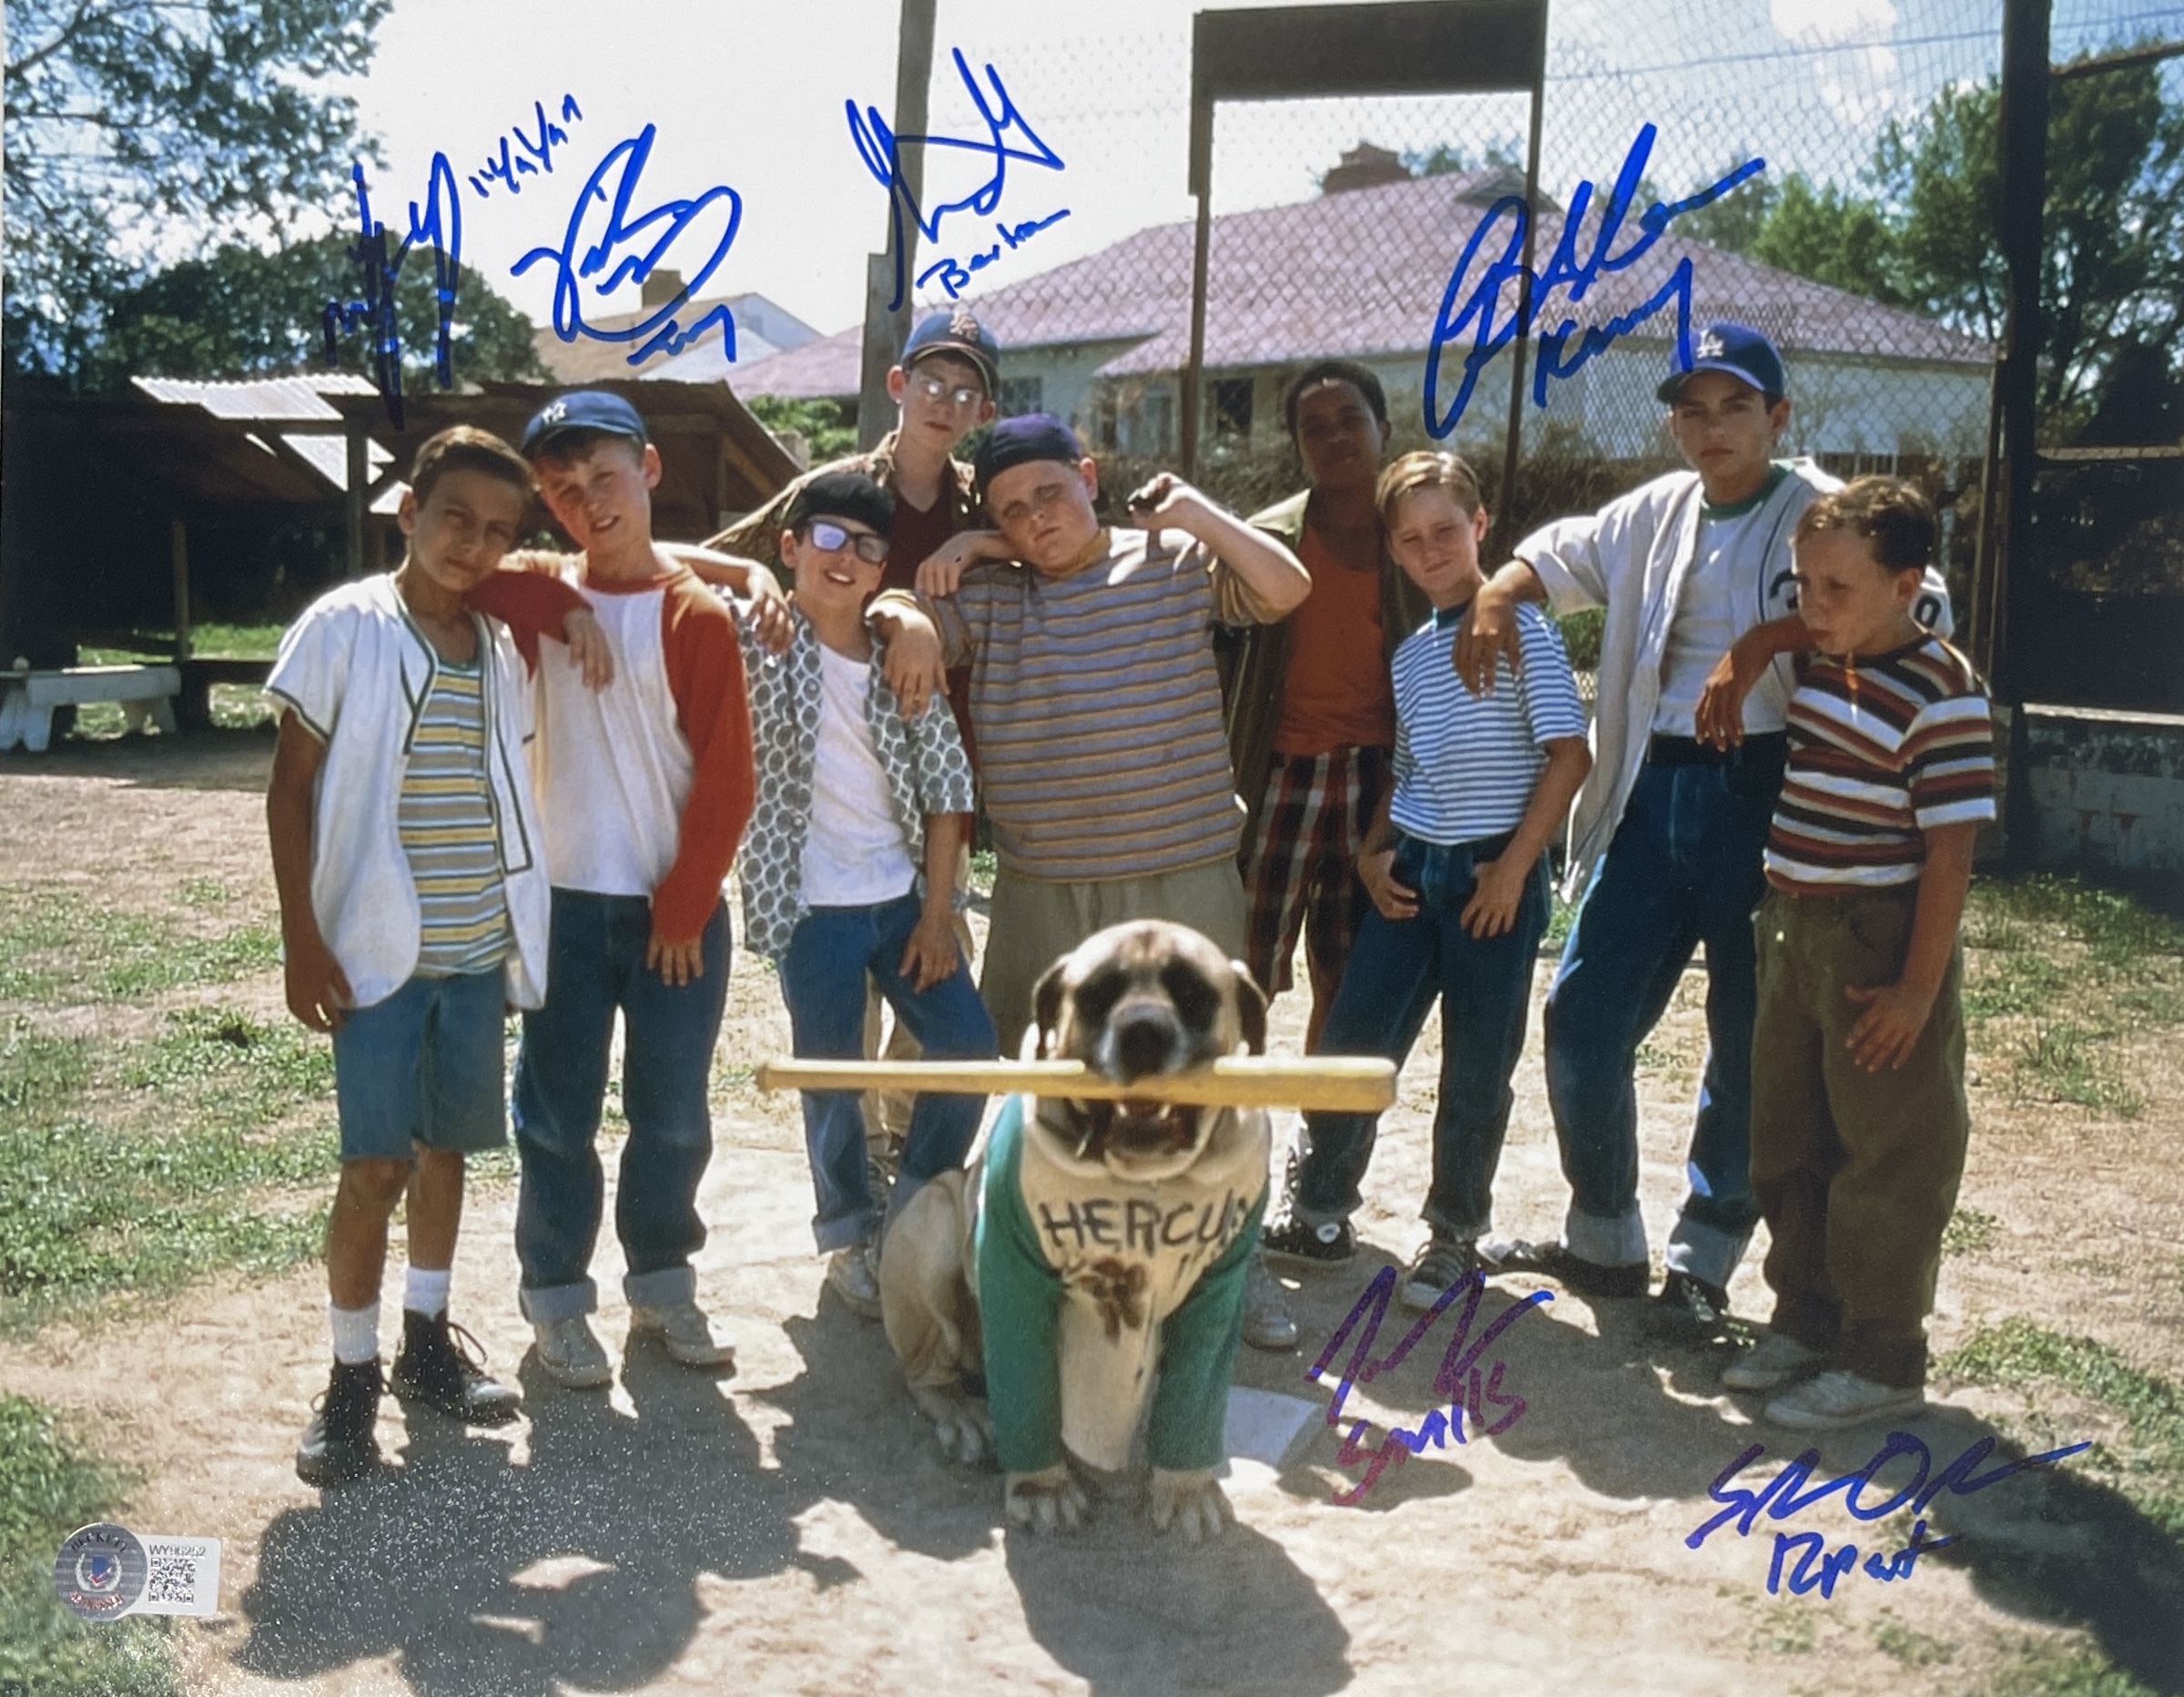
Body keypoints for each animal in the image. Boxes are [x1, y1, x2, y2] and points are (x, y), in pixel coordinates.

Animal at [878, 921, 1275, 1546]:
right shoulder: (1012, 1277)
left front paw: (1185, 1488)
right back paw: (964, 1415)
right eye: (1096, 994)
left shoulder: (1217, 1294)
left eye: (1192, 993)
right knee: (927, 1374)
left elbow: (1195, 1398)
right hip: (931, 1224)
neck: (1145, 1182)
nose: (1142, 1032)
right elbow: (1027, 1393)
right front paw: (1042, 1488)